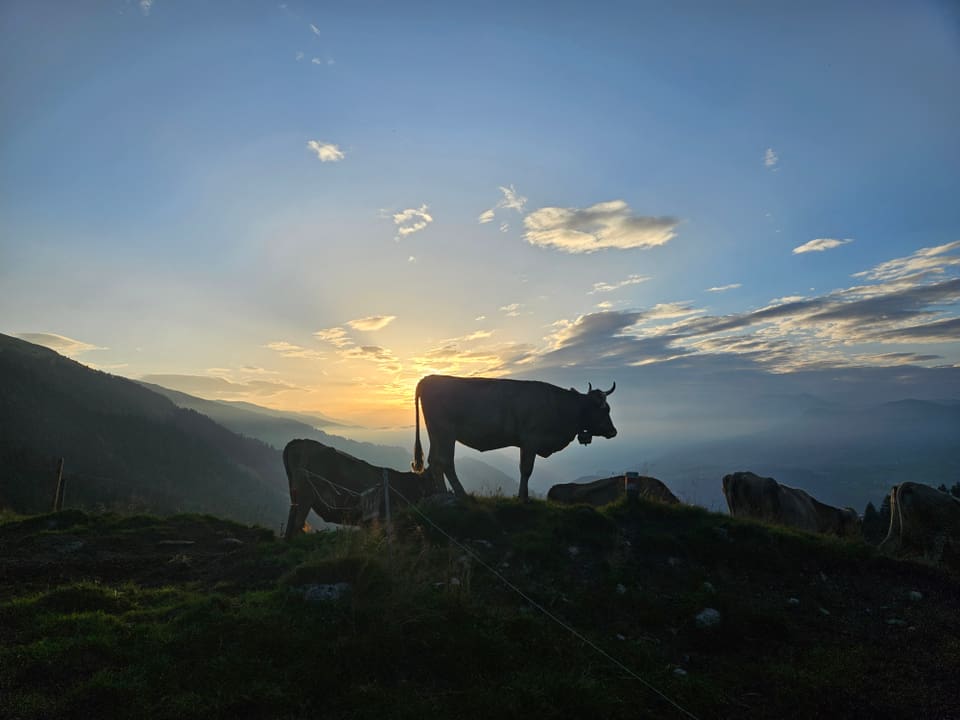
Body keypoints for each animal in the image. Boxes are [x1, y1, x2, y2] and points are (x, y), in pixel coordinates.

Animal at [284, 436, 444, 536]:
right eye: (433, 481)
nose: (443, 491)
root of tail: (299, 442)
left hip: (296, 498)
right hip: (305, 496)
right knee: (296, 525)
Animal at [410, 374, 620, 504]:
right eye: (605, 409)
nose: (613, 431)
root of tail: (428, 378)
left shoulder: (525, 443)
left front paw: (524, 496)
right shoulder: (531, 440)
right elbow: (526, 470)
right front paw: (523, 498)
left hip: (436, 433)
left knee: (434, 461)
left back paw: (442, 493)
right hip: (446, 432)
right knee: (445, 461)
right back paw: (461, 494)